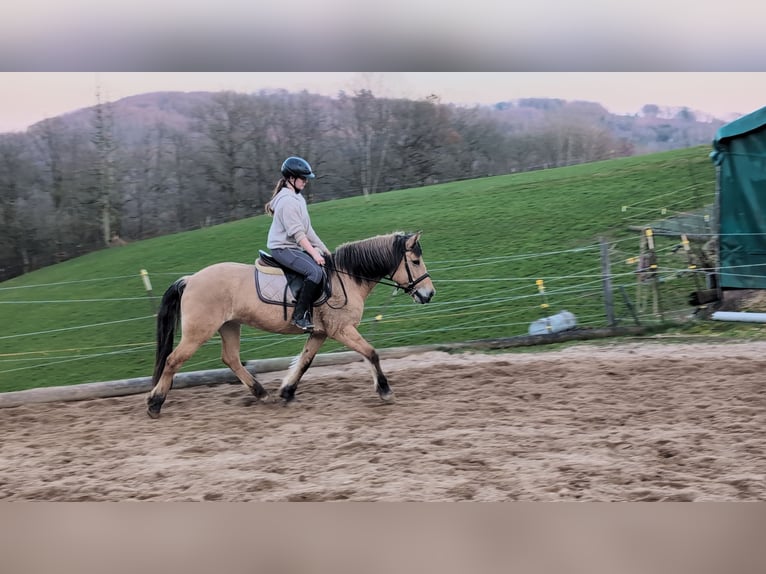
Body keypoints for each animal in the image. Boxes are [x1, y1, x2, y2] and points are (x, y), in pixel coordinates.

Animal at [146, 231, 435, 418]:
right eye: (415, 261)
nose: (429, 294)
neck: (346, 278)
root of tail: (190, 279)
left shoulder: (320, 333)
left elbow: (305, 362)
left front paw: (287, 392)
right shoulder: (342, 330)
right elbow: (371, 353)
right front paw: (385, 391)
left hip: (229, 326)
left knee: (231, 359)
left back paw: (262, 393)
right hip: (198, 332)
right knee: (172, 361)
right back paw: (154, 403)